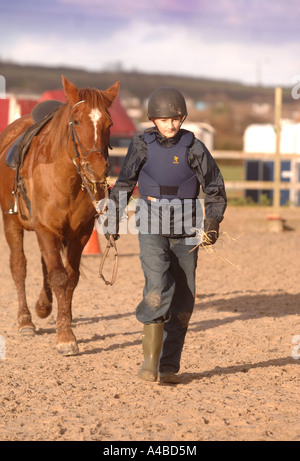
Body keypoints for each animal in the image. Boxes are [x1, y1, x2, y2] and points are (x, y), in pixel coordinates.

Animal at [0, 76, 119, 356]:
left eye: (108, 123)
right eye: (76, 121)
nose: (97, 169)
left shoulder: (80, 234)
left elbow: (70, 277)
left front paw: (65, 323)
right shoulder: (46, 229)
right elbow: (58, 276)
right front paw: (65, 337)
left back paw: (44, 306)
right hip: (12, 223)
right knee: (19, 266)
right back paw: (25, 321)